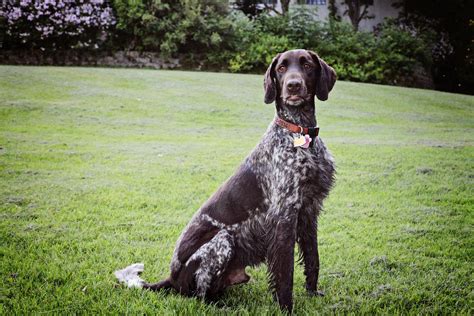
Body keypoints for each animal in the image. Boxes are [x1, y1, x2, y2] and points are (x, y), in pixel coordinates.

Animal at [115, 48, 336, 312]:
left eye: (307, 65)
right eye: (282, 68)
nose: (293, 85)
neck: (299, 134)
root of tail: (171, 278)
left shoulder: (309, 210)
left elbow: (313, 259)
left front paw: (313, 294)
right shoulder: (283, 217)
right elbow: (285, 275)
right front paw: (286, 309)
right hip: (222, 240)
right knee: (199, 297)